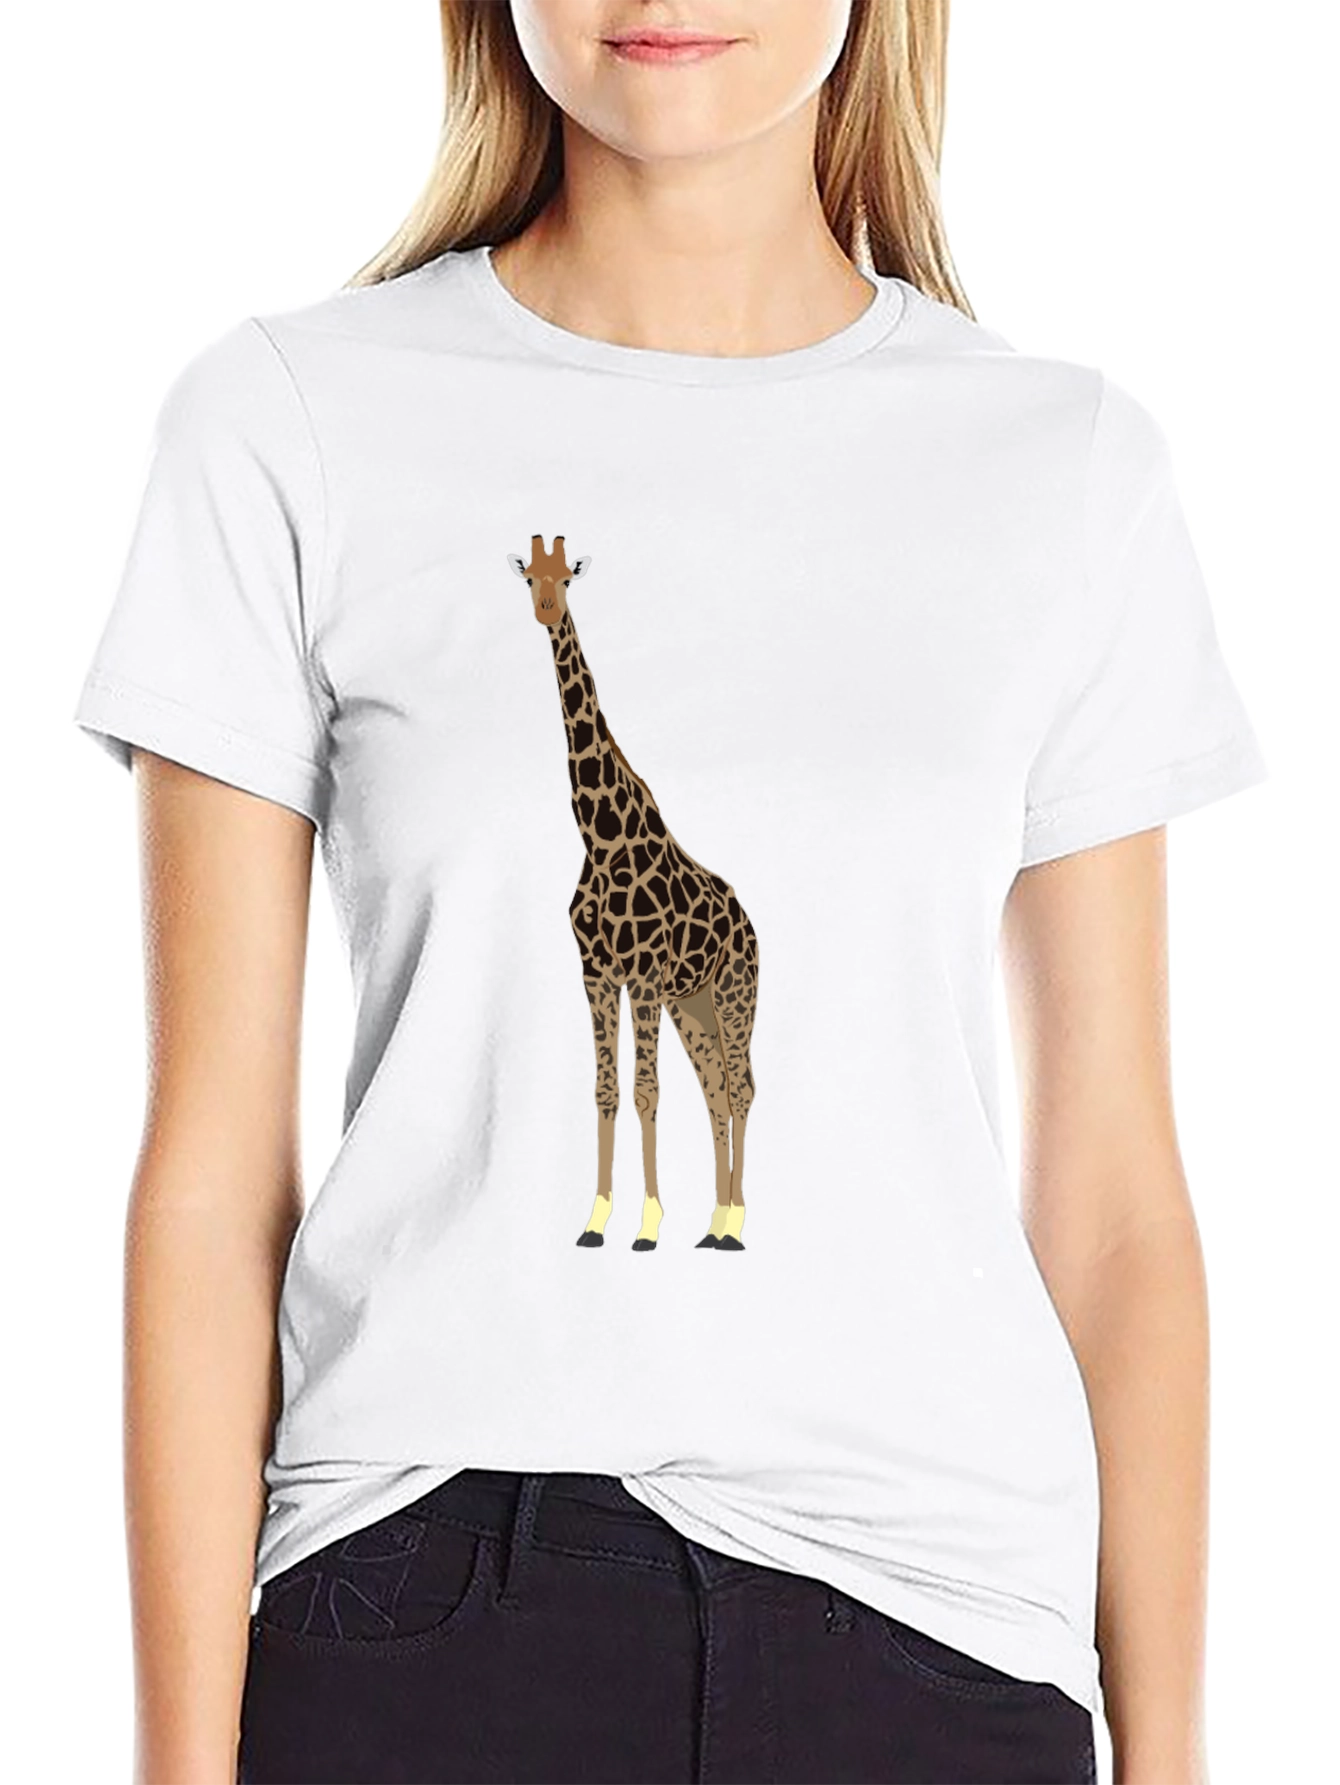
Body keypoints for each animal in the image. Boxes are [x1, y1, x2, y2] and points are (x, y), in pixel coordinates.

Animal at [506, 535, 759, 1251]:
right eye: (529, 577)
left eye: (568, 578)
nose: (545, 609)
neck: (599, 834)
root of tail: (750, 923)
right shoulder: (596, 973)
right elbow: (607, 1090)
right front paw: (596, 1219)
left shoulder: (641, 975)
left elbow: (647, 1091)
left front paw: (647, 1224)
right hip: (691, 1004)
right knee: (716, 1090)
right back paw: (714, 1222)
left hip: (731, 993)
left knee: (742, 1088)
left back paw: (734, 1223)